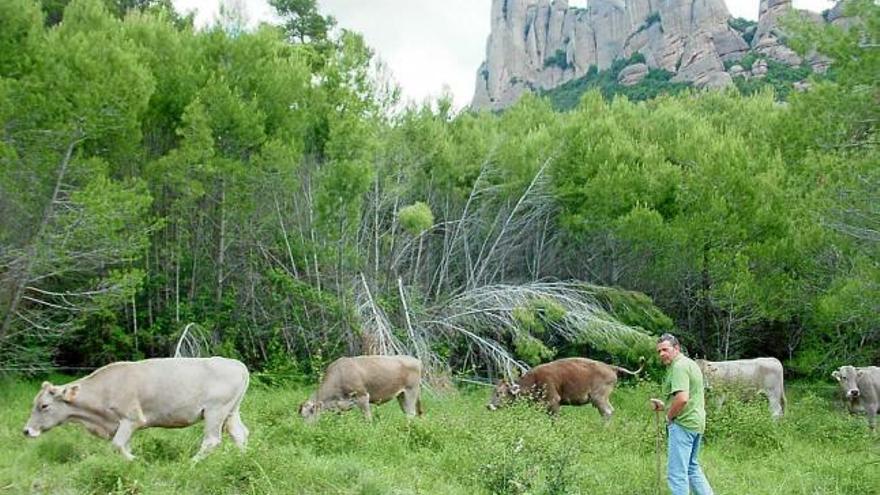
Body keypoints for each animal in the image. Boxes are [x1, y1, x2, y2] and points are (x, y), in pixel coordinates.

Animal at [22, 356, 249, 462]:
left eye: (44, 405)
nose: (26, 430)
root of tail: (237, 364)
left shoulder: (131, 419)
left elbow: (117, 445)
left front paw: (137, 461)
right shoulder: (123, 425)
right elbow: (123, 446)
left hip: (215, 411)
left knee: (211, 440)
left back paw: (191, 462)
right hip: (231, 411)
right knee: (240, 434)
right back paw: (241, 458)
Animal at [484, 356, 644, 418]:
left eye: (499, 393)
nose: (488, 406)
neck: (534, 381)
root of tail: (611, 368)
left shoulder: (554, 402)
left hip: (599, 397)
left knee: (608, 412)